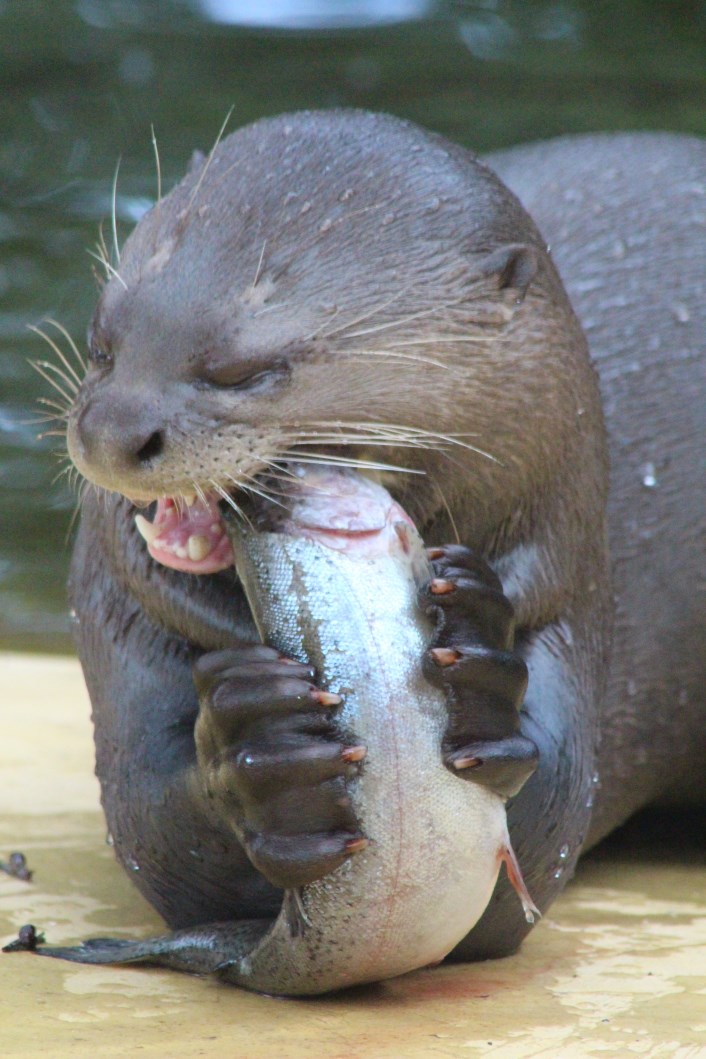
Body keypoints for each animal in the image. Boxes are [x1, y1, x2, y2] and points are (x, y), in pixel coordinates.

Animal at [16, 112, 706, 980]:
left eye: (246, 370)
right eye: (104, 339)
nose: (112, 430)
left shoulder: (566, 585)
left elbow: (542, 836)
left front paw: (482, 670)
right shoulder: (124, 620)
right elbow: (151, 829)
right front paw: (263, 746)